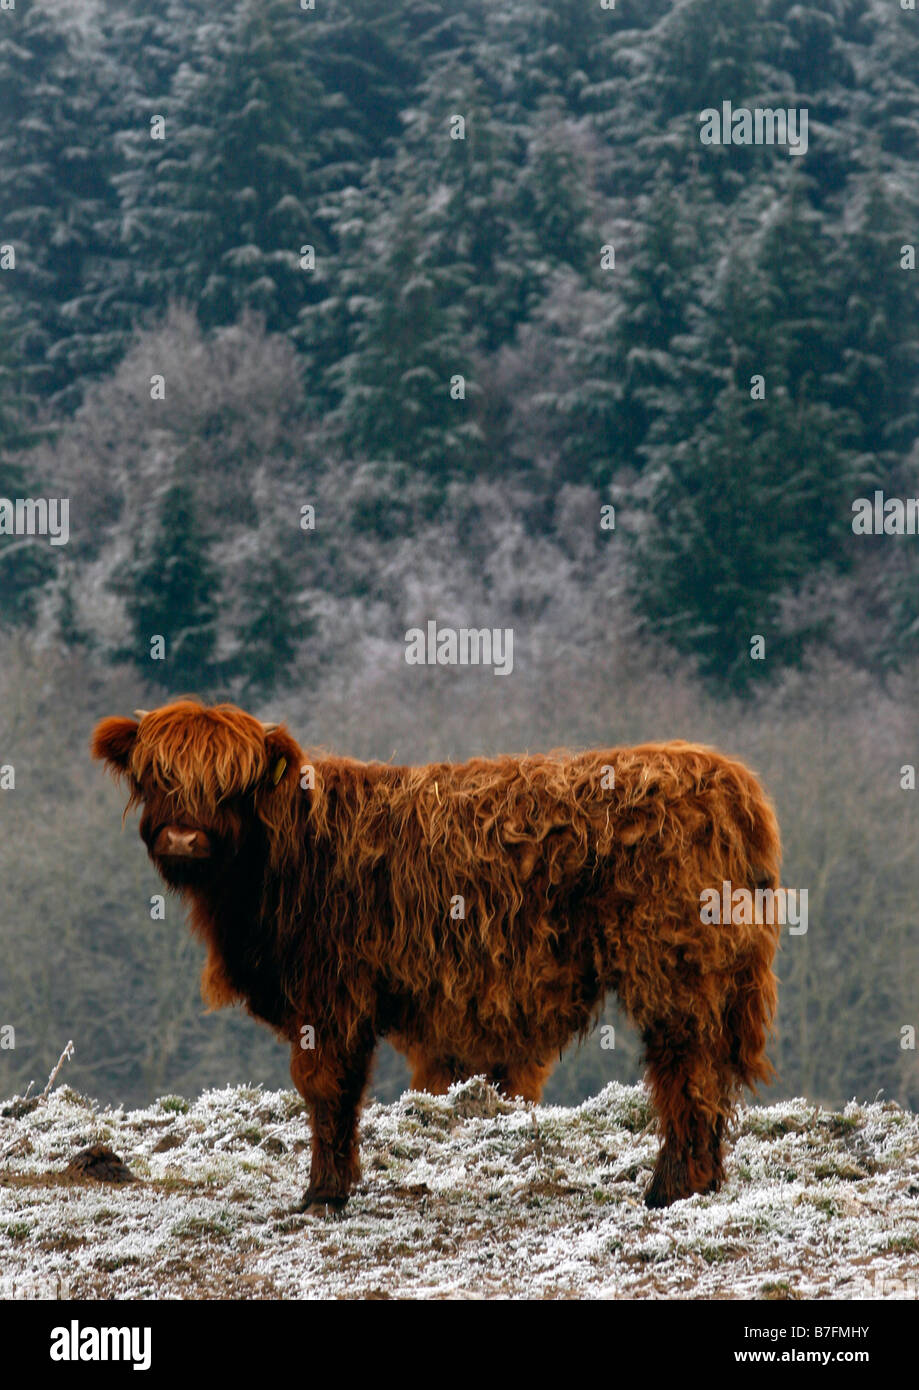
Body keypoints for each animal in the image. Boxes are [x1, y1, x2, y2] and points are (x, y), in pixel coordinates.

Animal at [93, 700, 784, 1212]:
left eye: (229, 785)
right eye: (158, 776)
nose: (183, 837)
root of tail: (726, 778)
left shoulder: (330, 997)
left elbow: (325, 1089)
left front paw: (322, 1195)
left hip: (676, 970)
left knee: (685, 1070)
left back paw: (672, 1188)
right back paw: (699, 1182)